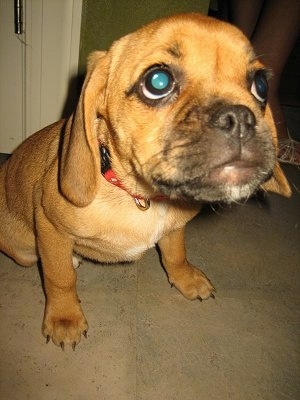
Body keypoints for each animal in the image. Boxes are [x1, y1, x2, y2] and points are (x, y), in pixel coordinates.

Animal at [0, 14, 290, 348]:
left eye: (261, 85)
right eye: (158, 82)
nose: (239, 119)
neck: (143, 196)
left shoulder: (175, 227)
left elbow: (176, 253)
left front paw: (185, 278)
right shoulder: (48, 223)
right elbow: (59, 278)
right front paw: (64, 318)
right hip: (23, 251)